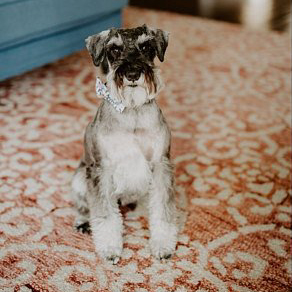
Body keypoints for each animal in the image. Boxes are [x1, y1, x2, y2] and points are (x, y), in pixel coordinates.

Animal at [71, 24, 178, 264]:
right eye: (114, 49)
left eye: (146, 46)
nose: (132, 74)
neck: (132, 109)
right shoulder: (101, 169)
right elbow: (104, 214)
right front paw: (110, 248)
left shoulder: (160, 164)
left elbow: (162, 209)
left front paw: (162, 244)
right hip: (80, 178)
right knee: (84, 204)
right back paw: (83, 222)